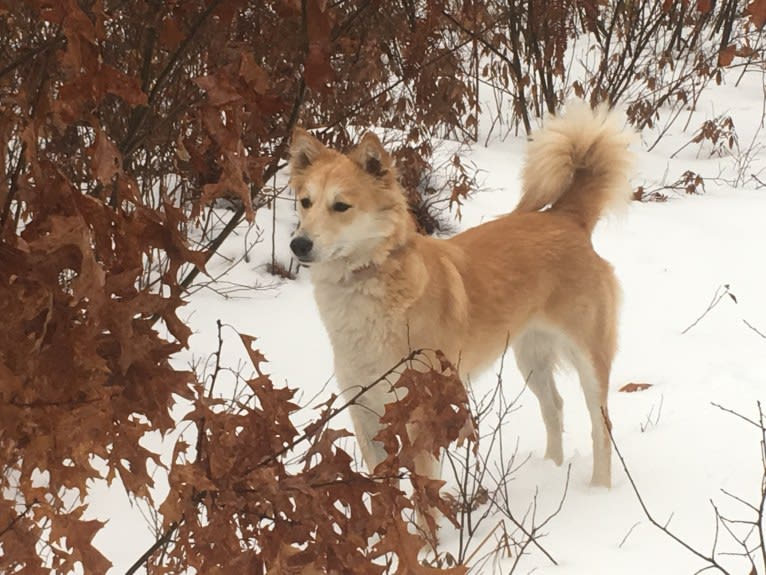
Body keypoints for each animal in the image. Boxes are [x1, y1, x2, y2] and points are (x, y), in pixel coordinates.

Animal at [292, 104, 632, 490]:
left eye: (341, 206)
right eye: (305, 202)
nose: (298, 244)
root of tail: (566, 218)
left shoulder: (423, 413)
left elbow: (426, 493)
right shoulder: (365, 411)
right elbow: (383, 491)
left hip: (588, 356)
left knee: (601, 425)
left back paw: (599, 489)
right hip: (531, 356)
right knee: (554, 408)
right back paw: (552, 467)